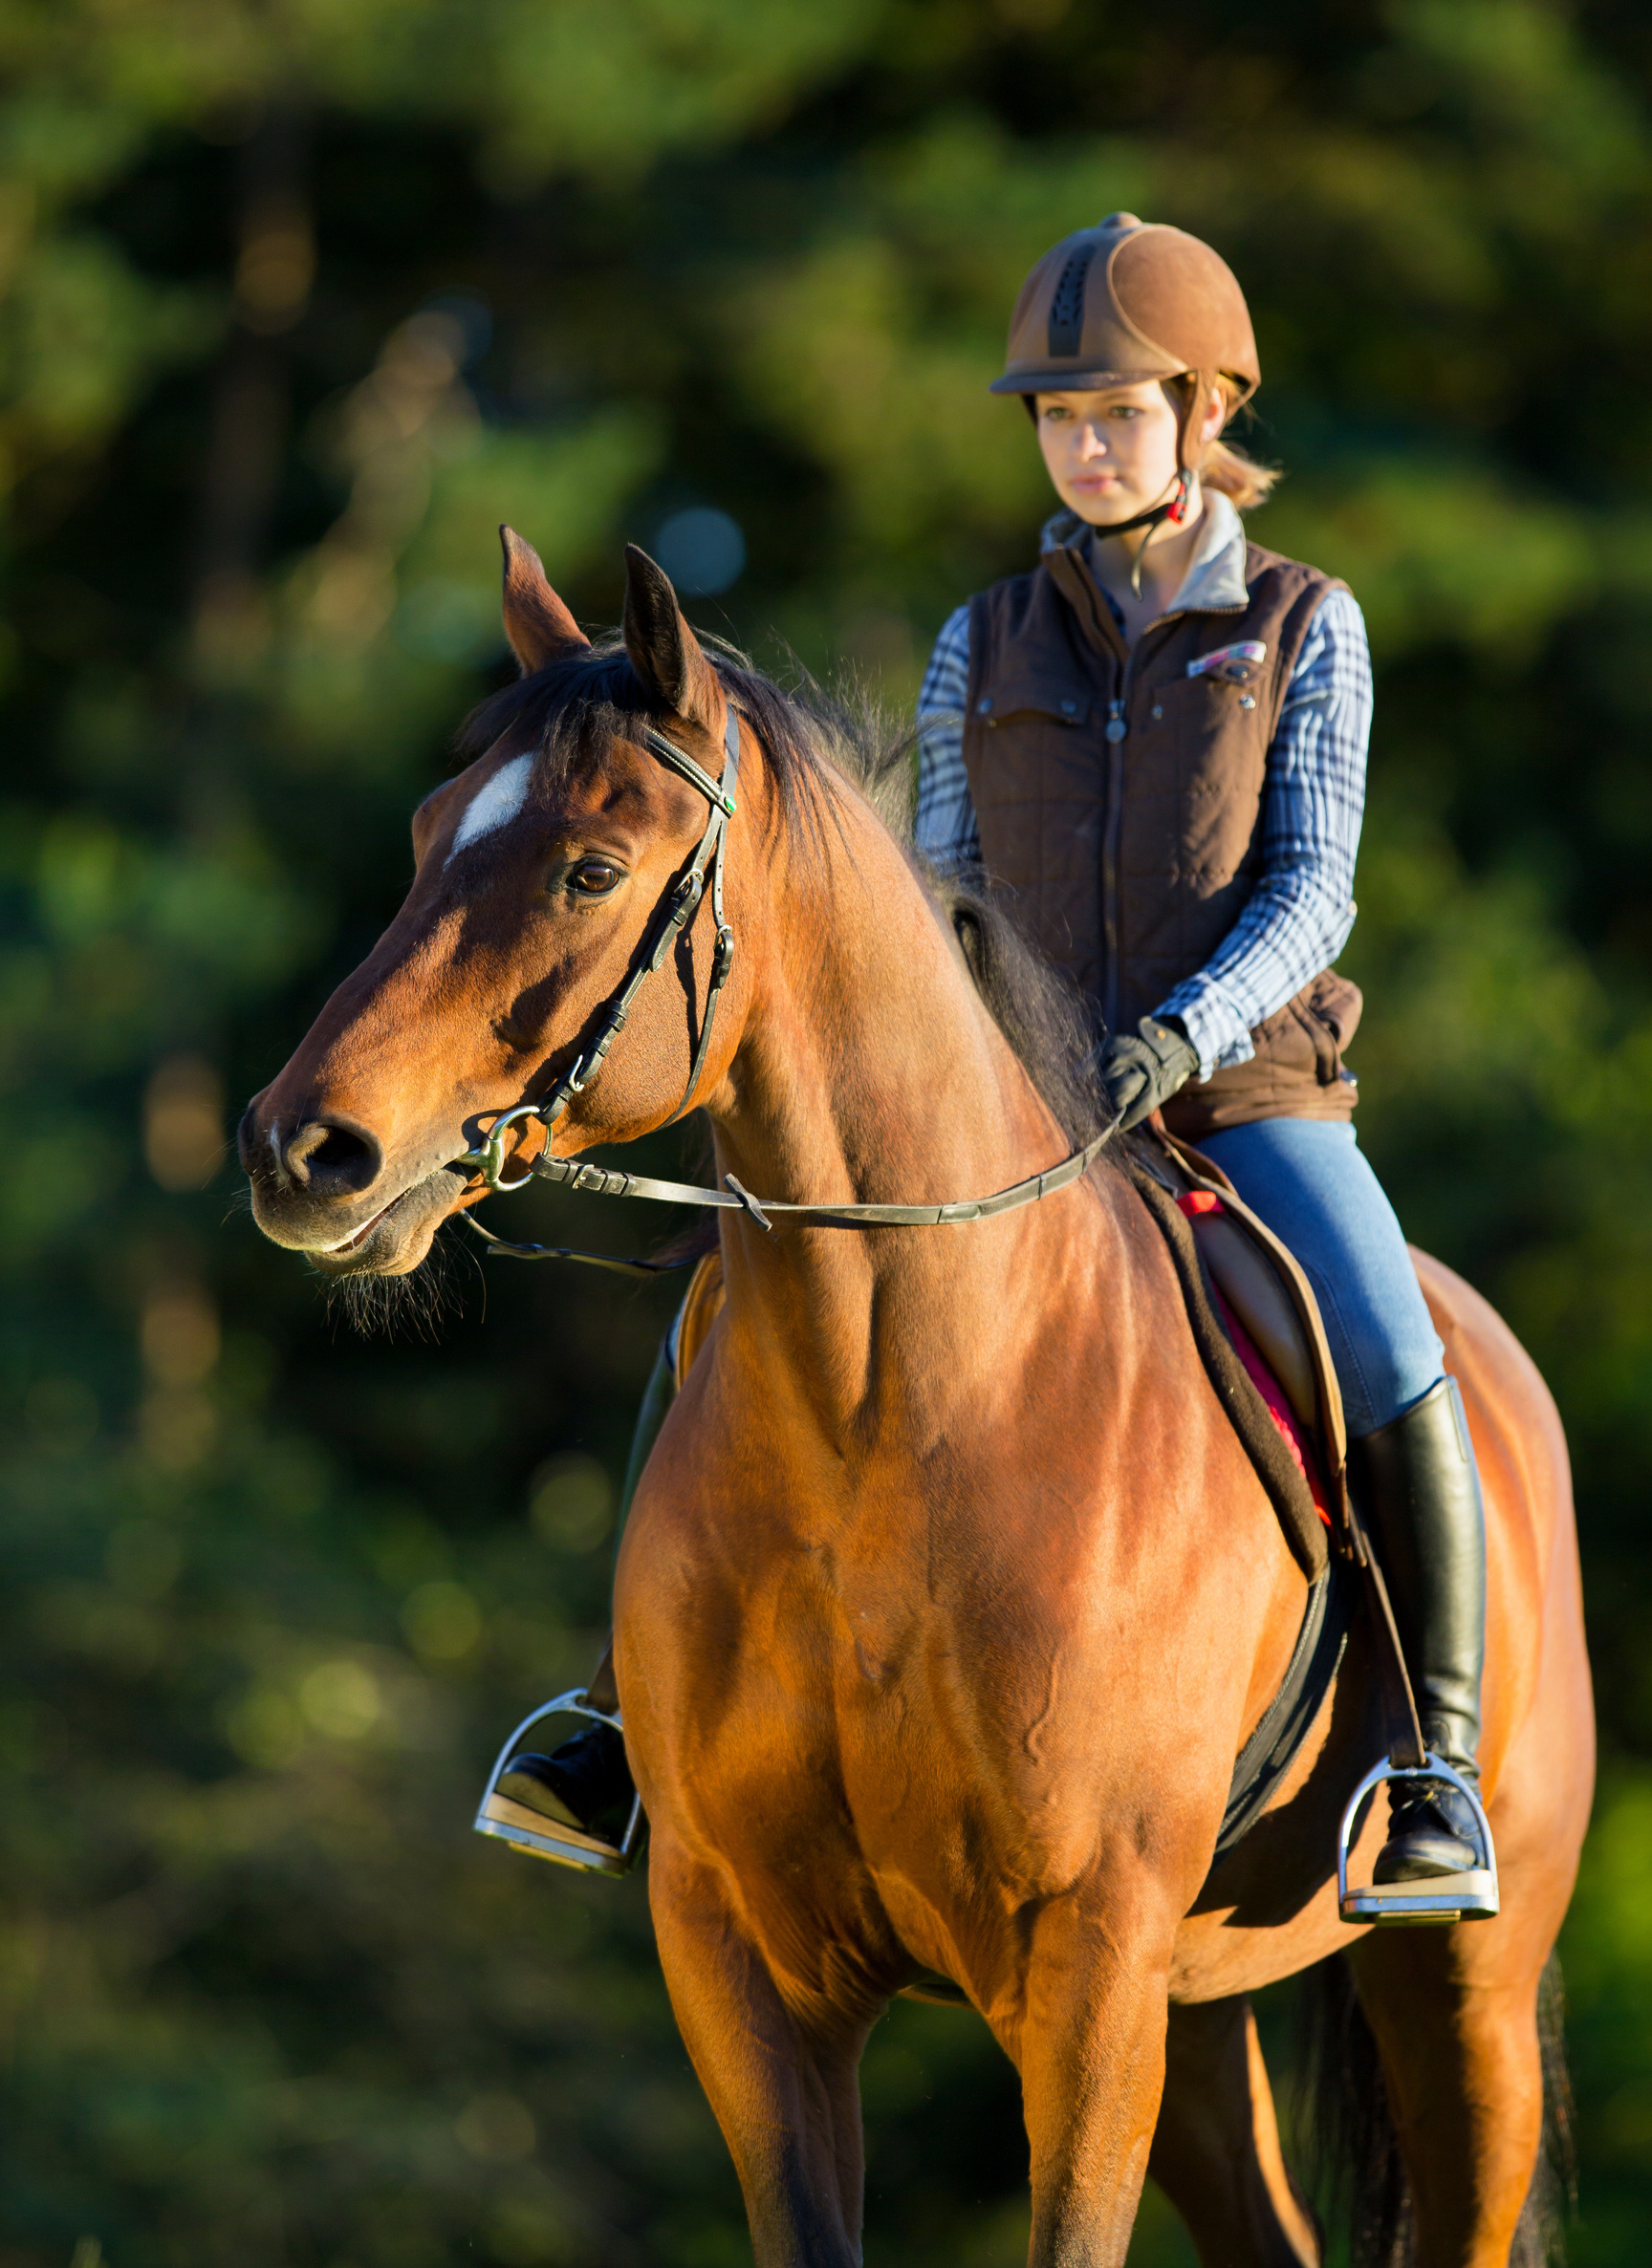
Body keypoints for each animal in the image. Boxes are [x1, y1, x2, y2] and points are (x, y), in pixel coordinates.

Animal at [239, 529, 1594, 2268]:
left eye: (588, 871)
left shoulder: (1085, 1975)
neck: (885, 1419)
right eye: (426, 835)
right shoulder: (748, 1965)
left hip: (1457, 1992)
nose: (301, 1152)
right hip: (1199, 2014)